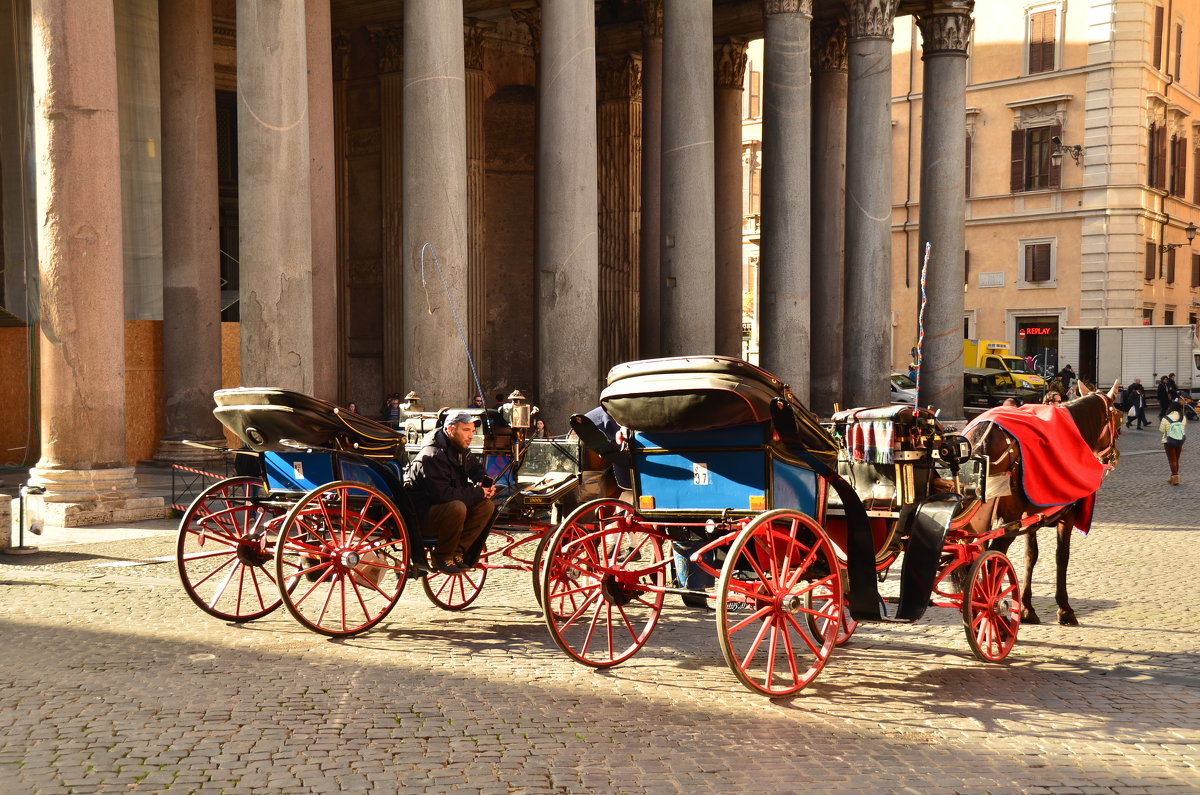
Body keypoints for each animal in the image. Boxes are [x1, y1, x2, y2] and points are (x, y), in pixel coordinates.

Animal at [955, 384, 1123, 624]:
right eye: (1118, 418)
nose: (1114, 456)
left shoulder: (1029, 517)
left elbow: (1030, 556)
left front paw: (1026, 607)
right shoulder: (1066, 516)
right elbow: (1062, 557)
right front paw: (1064, 608)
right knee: (993, 557)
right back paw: (993, 607)